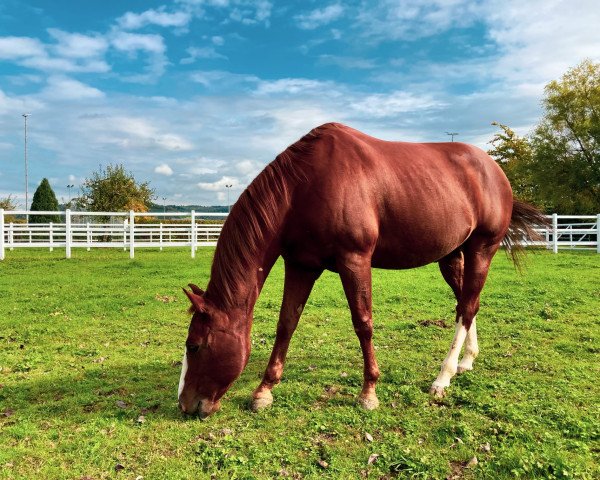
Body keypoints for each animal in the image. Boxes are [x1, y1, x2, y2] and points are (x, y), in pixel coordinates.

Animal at [177, 123, 544, 416]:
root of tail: (494, 171)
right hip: (452, 255)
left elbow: (363, 323)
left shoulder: (355, 260)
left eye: (194, 346)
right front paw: (264, 391)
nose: (185, 405)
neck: (304, 187)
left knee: (467, 306)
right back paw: (467, 361)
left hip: (482, 249)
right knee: (467, 304)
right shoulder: (301, 265)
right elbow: (286, 324)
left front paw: (369, 392)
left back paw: (444, 376)